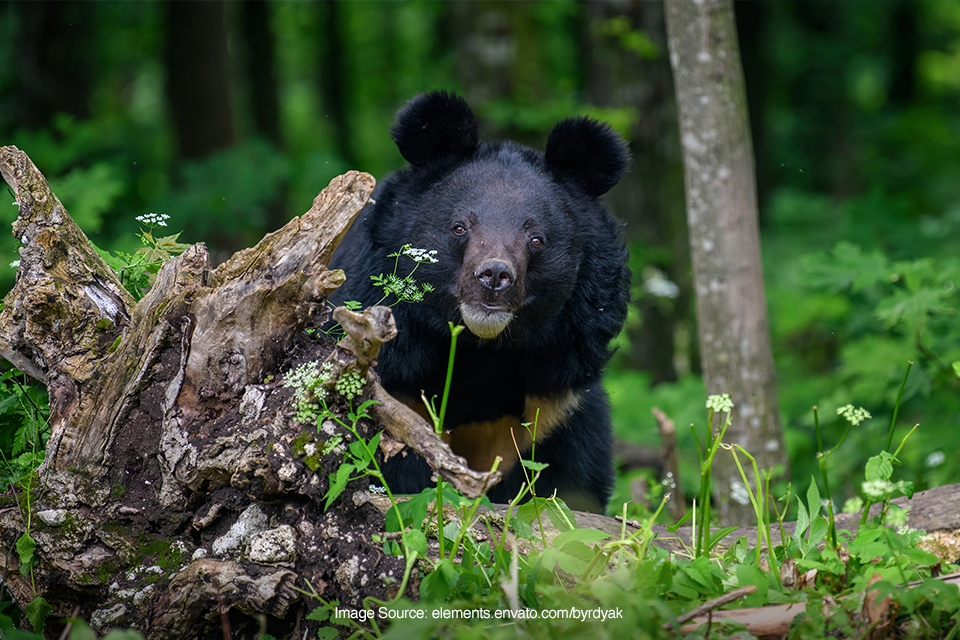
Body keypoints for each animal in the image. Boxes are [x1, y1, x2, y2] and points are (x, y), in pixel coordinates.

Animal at [330, 90, 632, 512]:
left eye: (536, 239)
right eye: (459, 227)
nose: (494, 276)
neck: (482, 353)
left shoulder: (558, 411)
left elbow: (570, 483)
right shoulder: (395, 388)